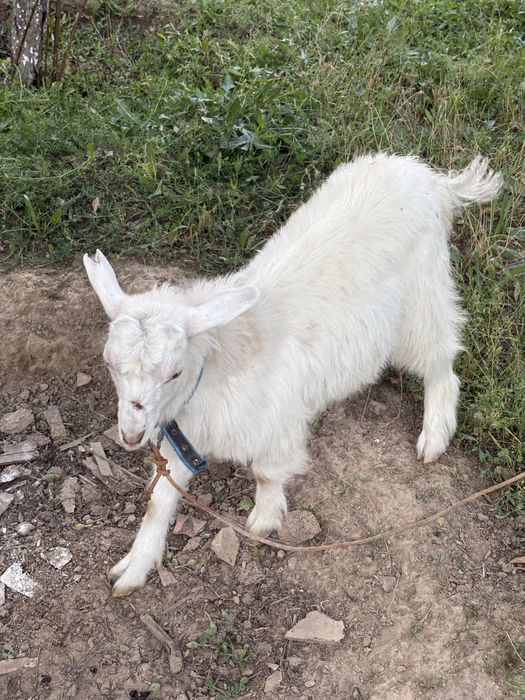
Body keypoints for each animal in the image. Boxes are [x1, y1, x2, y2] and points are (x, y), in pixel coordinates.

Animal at [84, 153, 502, 597]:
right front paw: (132, 569)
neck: (217, 364)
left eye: (175, 372)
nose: (130, 436)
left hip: (422, 299)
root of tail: (433, 181)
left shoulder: (278, 422)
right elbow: (157, 501)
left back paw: (433, 437)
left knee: (442, 363)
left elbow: (267, 473)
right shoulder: (186, 439)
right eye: (109, 364)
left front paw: (263, 521)